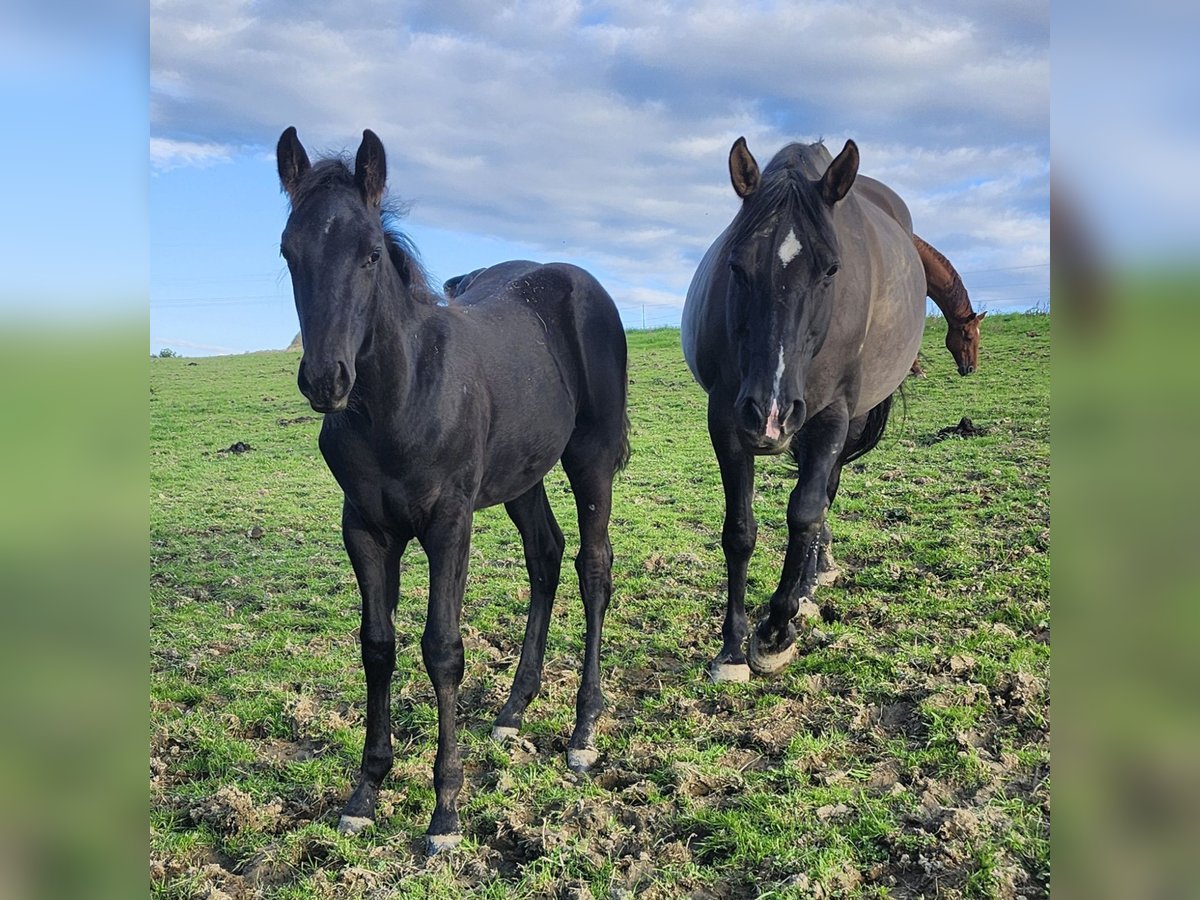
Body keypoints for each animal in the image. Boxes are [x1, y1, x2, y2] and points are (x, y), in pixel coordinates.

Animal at [276, 127, 630, 853]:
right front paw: (365, 792)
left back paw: (582, 730)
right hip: (522, 472)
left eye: (370, 253)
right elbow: (377, 645)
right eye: (289, 252)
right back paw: (513, 709)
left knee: (593, 566)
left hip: (590, 458)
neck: (401, 398)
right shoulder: (364, 528)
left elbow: (442, 648)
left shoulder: (449, 522)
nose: (326, 379)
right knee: (546, 555)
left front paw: (445, 811)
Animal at [681, 137, 926, 682]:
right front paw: (732, 648)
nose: (769, 414)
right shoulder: (726, 419)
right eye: (736, 266)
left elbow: (806, 512)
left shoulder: (832, 414)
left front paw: (776, 630)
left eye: (832, 269)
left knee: (823, 496)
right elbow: (740, 530)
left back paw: (810, 586)